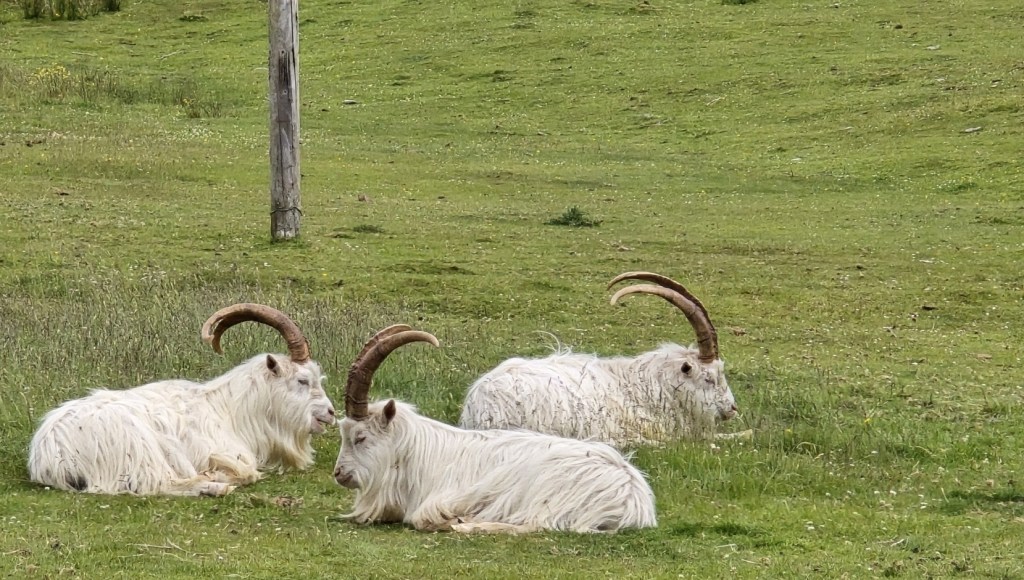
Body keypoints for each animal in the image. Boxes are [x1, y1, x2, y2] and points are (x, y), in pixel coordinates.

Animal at [27, 303, 335, 496]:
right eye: (302, 380)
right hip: (140, 449)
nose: (331, 413)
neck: (229, 411)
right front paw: (220, 475)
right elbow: (247, 472)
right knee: (156, 484)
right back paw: (215, 486)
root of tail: (50, 454)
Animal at [333, 325, 657, 534]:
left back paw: (464, 525)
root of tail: (633, 498)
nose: (339, 474)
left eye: (360, 437)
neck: (418, 455)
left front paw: (450, 520)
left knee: (535, 526)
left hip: (548, 496)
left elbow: (424, 517)